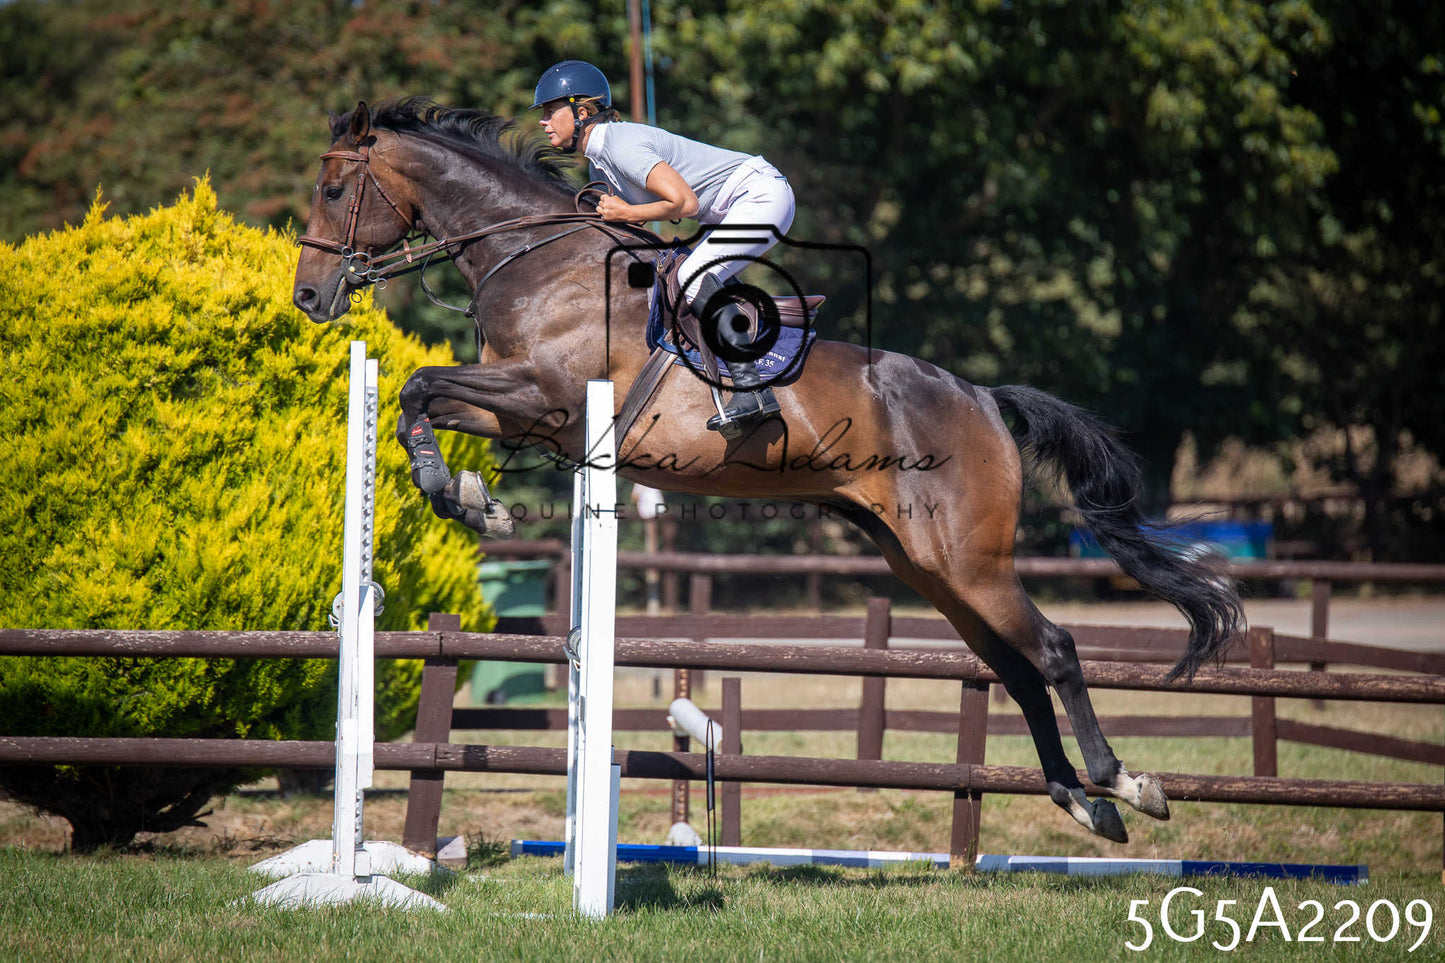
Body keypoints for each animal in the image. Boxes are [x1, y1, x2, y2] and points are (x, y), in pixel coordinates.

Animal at [293, 98, 1245, 844]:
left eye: (335, 190)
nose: (309, 297)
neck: (534, 256)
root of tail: (979, 395)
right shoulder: (526, 410)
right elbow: (422, 398)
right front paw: (469, 497)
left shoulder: (551, 396)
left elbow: (418, 383)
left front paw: (460, 495)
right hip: (929, 566)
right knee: (1013, 670)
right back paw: (1082, 804)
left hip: (969, 558)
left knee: (1053, 651)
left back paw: (1122, 783)